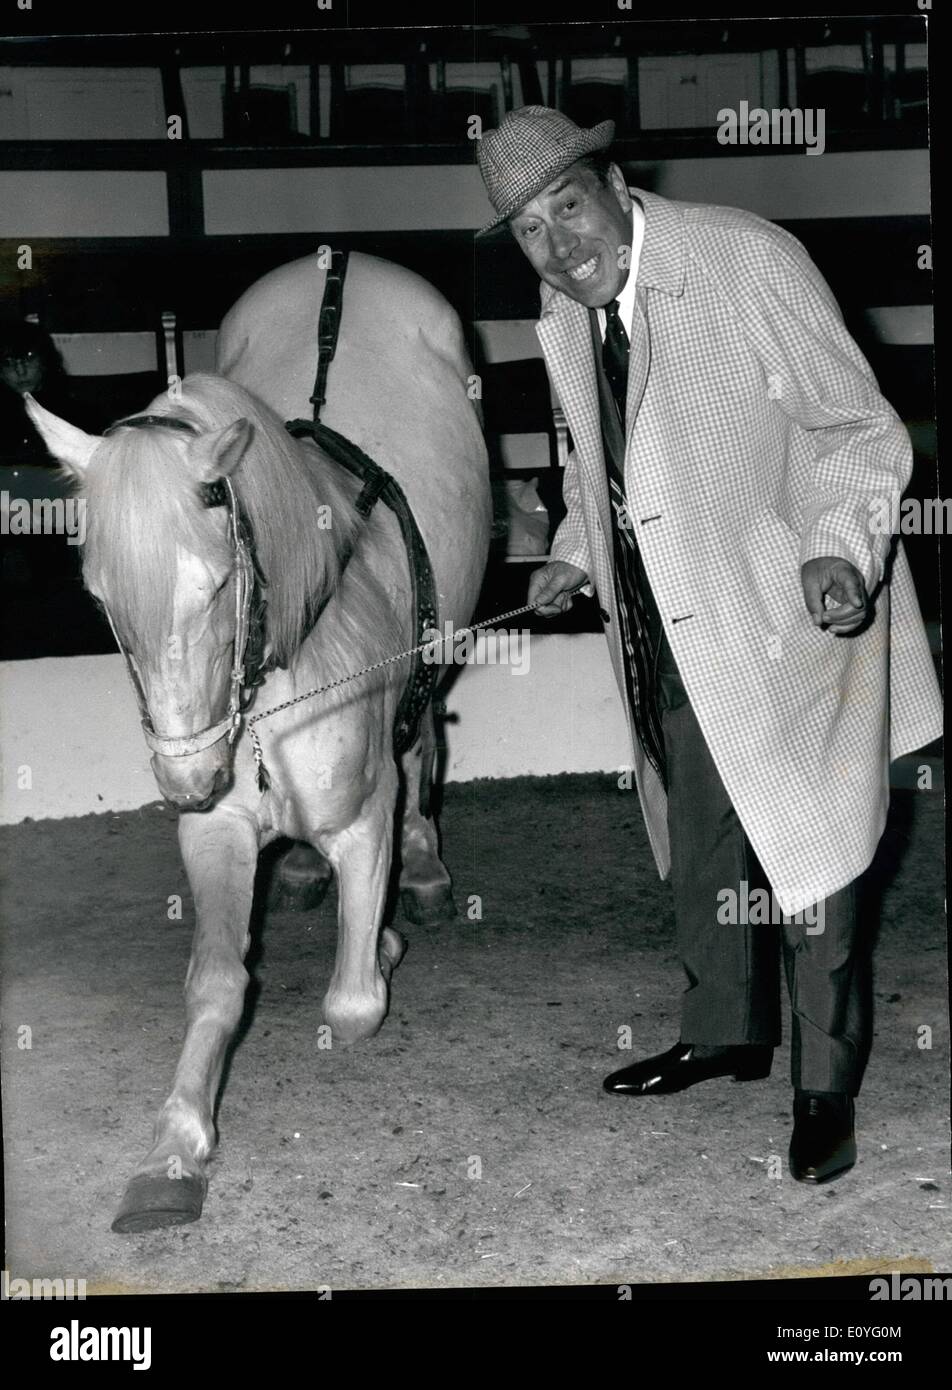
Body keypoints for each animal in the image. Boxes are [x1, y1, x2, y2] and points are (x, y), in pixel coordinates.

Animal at [27, 250, 489, 1228]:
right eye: (100, 596)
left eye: (213, 584)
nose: (187, 778)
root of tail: (348, 261)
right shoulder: (219, 829)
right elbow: (216, 982)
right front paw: (172, 1151)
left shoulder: (364, 818)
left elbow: (353, 1002)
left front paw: (384, 940)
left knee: (426, 735)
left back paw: (425, 869)